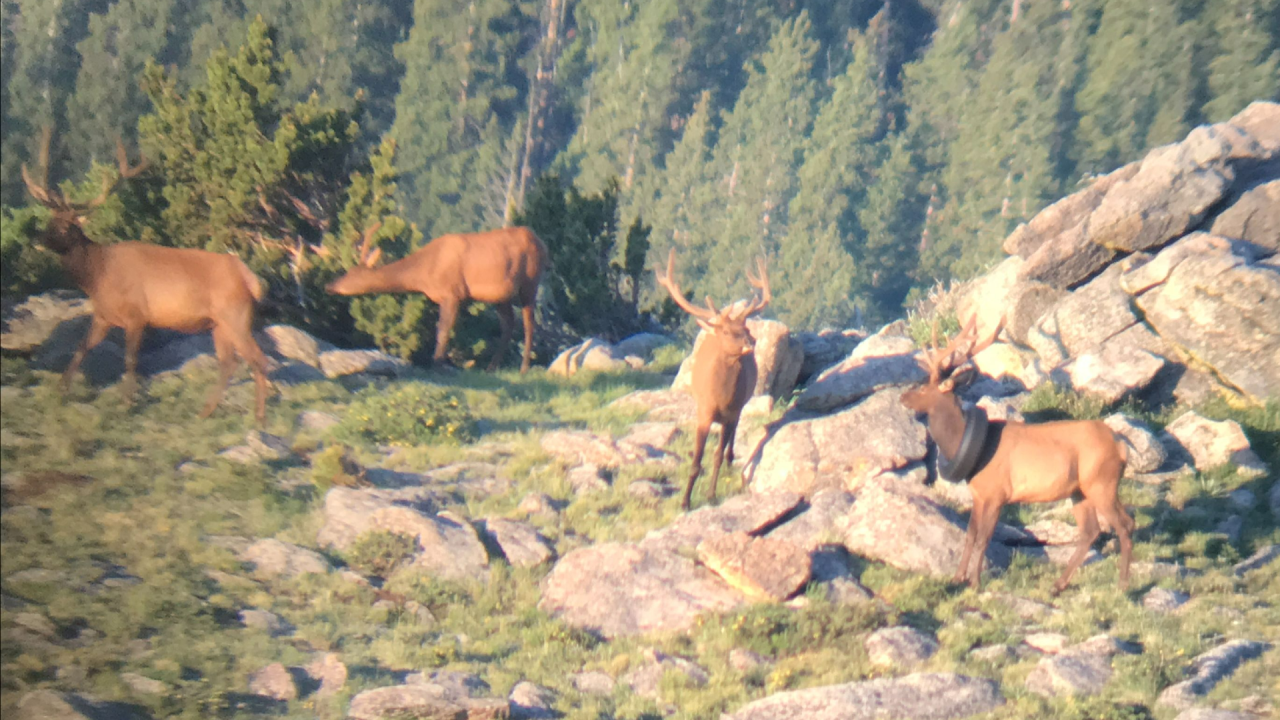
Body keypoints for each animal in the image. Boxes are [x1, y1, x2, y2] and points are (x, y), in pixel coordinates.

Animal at [21, 126, 271, 422]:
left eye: (66, 227)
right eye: (50, 220)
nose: (37, 239)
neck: (97, 276)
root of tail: (250, 279)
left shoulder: (137, 315)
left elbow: (130, 359)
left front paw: (127, 402)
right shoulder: (103, 316)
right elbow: (82, 347)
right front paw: (60, 390)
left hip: (236, 315)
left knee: (258, 358)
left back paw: (258, 417)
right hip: (218, 323)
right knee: (229, 362)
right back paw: (205, 412)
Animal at [322, 225, 547, 371]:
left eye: (351, 273)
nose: (329, 286)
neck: (425, 273)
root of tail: (542, 243)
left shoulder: (453, 293)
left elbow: (443, 330)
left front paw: (437, 363)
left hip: (530, 282)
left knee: (529, 324)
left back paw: (524, 367)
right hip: (500, 296)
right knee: (509, 324)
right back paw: (492, 367)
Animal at [650, 249, 768, 507]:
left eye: (746, 328)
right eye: (726, 331)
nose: (751, 343)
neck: (721, 398)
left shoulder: (731, 412)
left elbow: (716, 456)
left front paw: (711, 495)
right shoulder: (704, 412)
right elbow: (696, 461)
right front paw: (685, 502)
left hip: (739, 407)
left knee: (731, 438)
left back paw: (730, 459)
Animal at [901, 315, 1131, 594]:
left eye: (924, 388)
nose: (903, 396)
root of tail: (1120, 445)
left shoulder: (998, 493)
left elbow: (984, 538)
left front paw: (975, 582)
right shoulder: (979, 494)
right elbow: (970, 535)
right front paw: (957, 578)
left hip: (1102, 482)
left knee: (1125, 524)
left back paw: (1122, 585)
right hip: (1080, 490)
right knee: (1091, 531)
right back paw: (1057, 585)